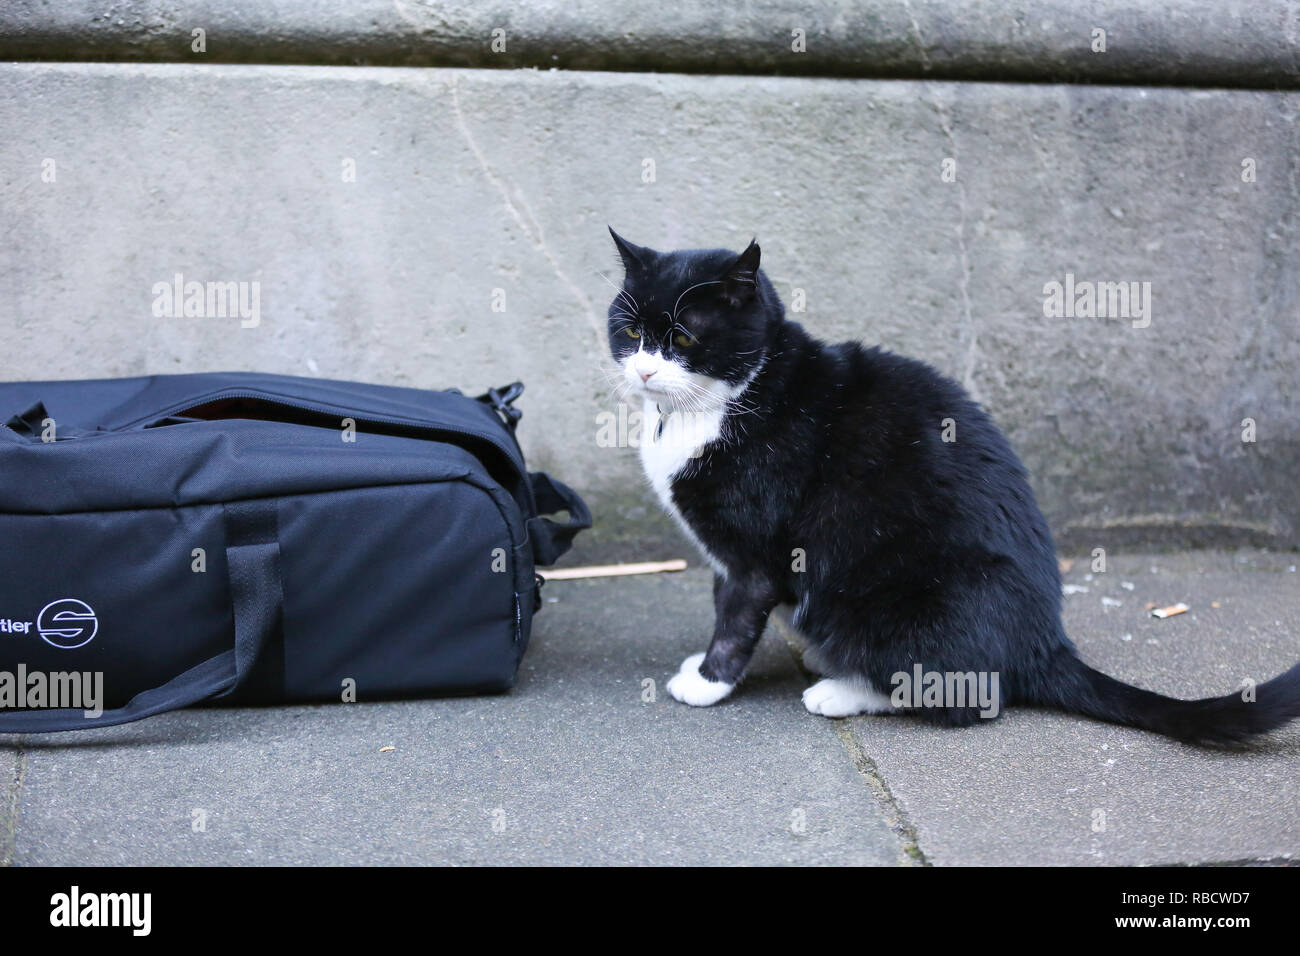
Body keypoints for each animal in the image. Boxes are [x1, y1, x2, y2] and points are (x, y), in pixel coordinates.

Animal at [605, 230, 1300, 749]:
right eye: (631, 332)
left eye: (684, 337)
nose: (645, 370)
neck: (719, 403)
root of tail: (1044, 645)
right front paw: (703, 670)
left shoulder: (754, 550)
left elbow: (736, 615)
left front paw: (709, 681)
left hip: (897, 595)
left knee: (965, 696)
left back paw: (842, 688)